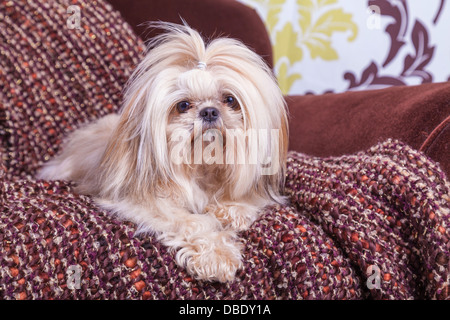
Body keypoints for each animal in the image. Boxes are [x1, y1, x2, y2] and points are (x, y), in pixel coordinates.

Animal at [40, 23, 290, 282]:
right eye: (183, 105)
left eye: (229, 100)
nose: (209, 111)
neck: (201, 167)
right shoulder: (149, 204)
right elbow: (193, 223)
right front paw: (216, 255)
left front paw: (231, 210)